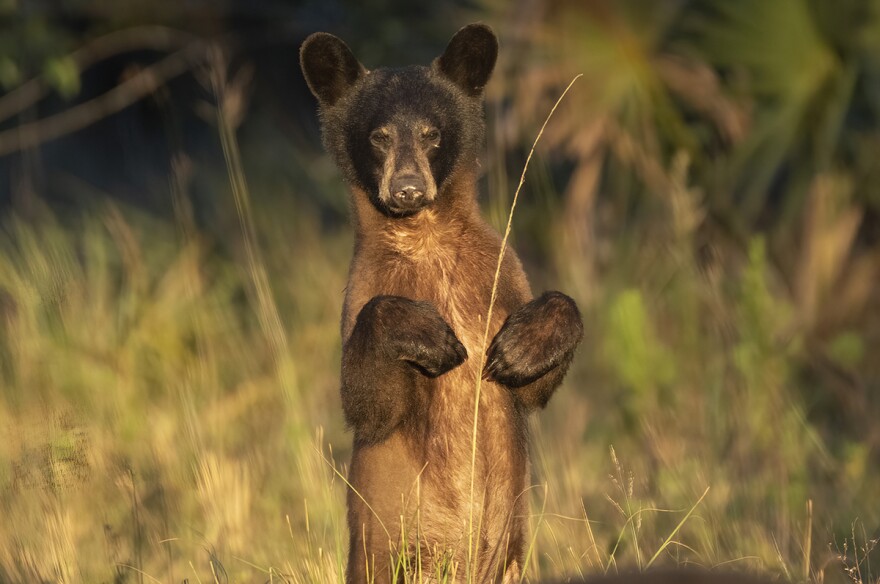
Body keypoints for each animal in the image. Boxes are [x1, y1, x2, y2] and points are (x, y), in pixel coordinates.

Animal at [300, 23, 584, 583]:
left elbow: (532, 386)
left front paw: (521, 347)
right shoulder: (365, 284)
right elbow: (370, 405)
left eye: (432, 133)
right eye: (379, 136)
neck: (425, 239)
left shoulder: (497, 272)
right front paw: (432, 337)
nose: (407, 188)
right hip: (384, 558)